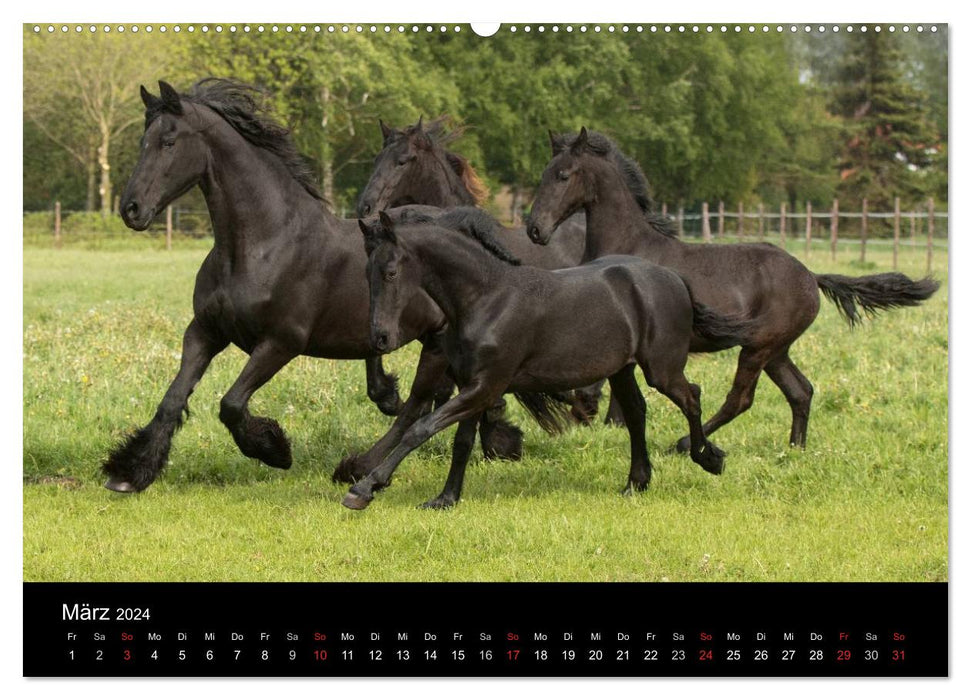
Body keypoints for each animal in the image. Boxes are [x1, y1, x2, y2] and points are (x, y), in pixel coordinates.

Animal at [100, 78, 532, 492]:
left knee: (431, 401)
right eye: (142, 142)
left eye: (169, 142)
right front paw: (130, 471)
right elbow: (173, 399)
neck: (261, 245)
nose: (131, 209)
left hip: (439, 341)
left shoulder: (281, 342)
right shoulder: (205, 331)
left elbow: (232, 404)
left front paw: (274, 448)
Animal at [342, 208, 760, 508]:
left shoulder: (485, 386)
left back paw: (708, 459)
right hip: (622, 369)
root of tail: (673, 278)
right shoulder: (473, 387)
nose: (380, 337)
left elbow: (420, 428)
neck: (486, 299)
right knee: (637, 412)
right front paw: (445, 499)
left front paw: (364, 489)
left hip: (662, 368)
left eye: (391, 272)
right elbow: (461, 442)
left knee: (692, 396)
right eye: (366, 273)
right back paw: (635, 483)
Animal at [524, 129, 940, 452]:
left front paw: (594, 415)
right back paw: (795, 450)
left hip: (758, 348)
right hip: (776, 351)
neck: (629, 245)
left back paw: (684, 444)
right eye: (544, 174)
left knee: (740, 399)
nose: (535, 229)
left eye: (564, 175)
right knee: (801, 391)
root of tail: (810, 275)